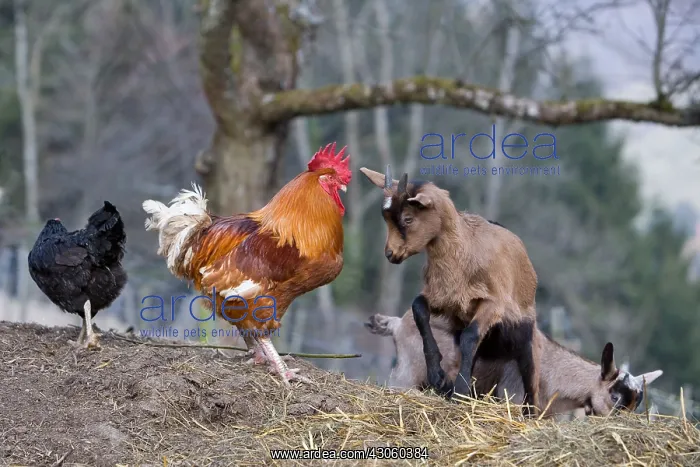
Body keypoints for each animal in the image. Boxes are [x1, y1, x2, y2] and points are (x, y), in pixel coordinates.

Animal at [360, 165, 540, 414]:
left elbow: (470, 336)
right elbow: (419, 309)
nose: (391, 254)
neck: (466, 251)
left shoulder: (492, 304)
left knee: (528, 366)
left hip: (521, 327)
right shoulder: (444, 301)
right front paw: (439, 378)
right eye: (386, 217)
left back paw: (530, 411)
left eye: (408, 218)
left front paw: (459, 391)